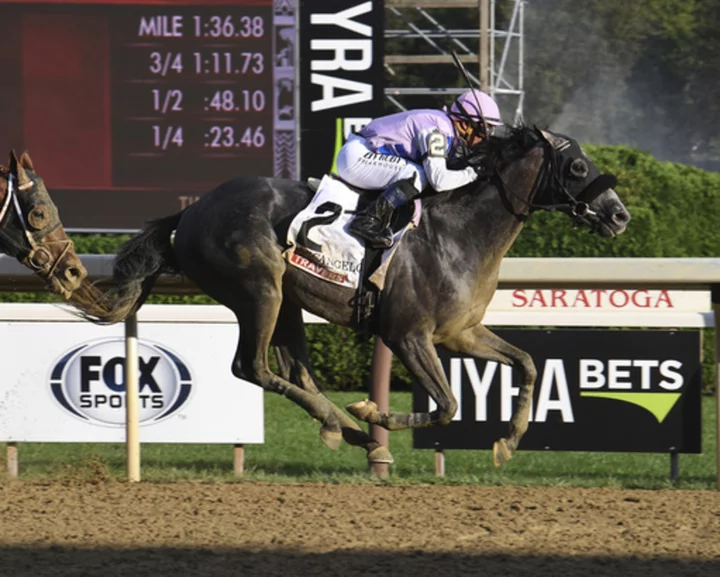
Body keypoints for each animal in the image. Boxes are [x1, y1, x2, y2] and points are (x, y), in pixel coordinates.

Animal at [69, 125, 632, 464]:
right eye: (578, 167)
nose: (620, 214)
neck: (457, 235)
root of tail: (189, 212)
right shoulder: (408, 335)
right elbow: (448, 404)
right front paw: (376, 414)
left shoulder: (460, 333)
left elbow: (529, 363)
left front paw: (509, 440)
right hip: (259, 290)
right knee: (253, 367)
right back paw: (353, 429)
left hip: (287, 300)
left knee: (295, 373)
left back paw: (350, 434)